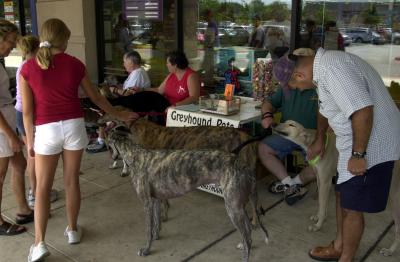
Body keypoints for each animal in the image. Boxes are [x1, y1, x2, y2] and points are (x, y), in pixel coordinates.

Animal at [108, 129, 268, 262]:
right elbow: (156, 224)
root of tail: (243, 165)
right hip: (239, 204)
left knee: (248, 237)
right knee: (248, 230)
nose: (113, 158)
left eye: (108, 144)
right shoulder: (156, 200)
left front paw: (146, 250)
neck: (136, 155)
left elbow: (148, 230)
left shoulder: (147, 203)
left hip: (232, 207)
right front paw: (157, 236)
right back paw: (242, 244)